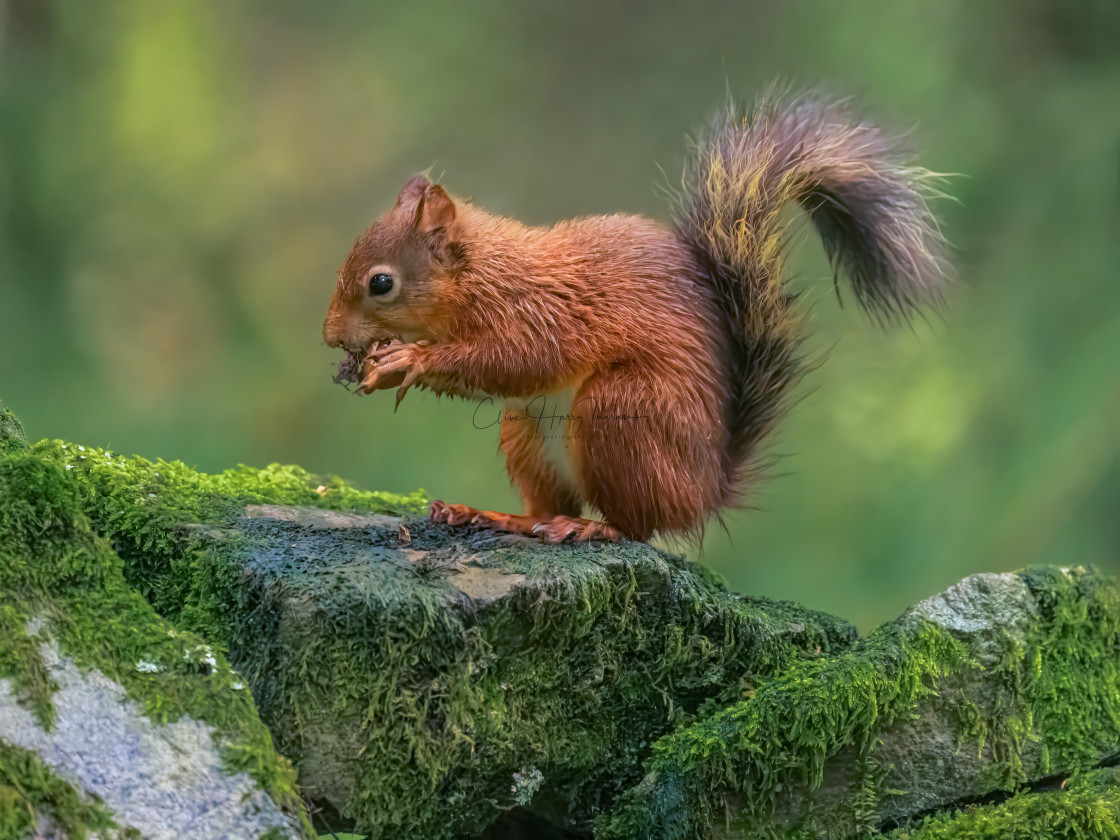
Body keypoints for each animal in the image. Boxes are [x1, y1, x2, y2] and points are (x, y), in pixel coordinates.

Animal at [322, 93, 945, 546]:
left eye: (381, 283)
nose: (329, 337)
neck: (483, 277)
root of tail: (705, 490)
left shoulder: (543, 313)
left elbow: (518, 360)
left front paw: (405, 359)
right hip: (525, 431)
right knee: (548, 504)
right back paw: (497, 516)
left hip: (620, 412)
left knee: (639, 527)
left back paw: (590, 527)